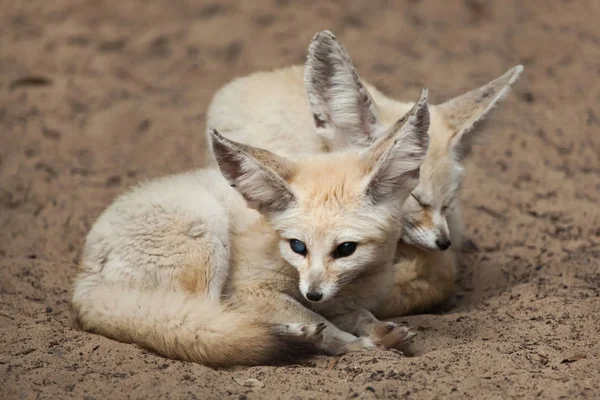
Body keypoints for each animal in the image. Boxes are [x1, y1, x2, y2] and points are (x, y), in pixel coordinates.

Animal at [72, 94, 432, 368]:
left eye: (345, 249)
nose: (313, 293)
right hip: (208, 233)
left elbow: (358, 314)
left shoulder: (336, 299)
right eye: (298, 246)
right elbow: (323, 324)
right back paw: (297, 337)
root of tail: (82, 278)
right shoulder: (250, 290)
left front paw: (380, 331)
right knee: (208, 322)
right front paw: (357, 344)